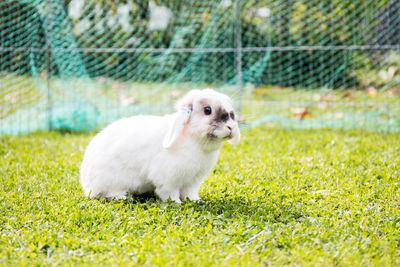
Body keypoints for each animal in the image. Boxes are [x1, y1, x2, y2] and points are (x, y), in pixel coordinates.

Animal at [79, 89, 239, 204]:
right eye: (207, 110)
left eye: (231, 113)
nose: (231, 127)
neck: (192, 138)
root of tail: (87, 184)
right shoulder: (169, 179)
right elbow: (169, 192)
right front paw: (176, 203)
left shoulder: (193, 181)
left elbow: (190, 193)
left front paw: (196, 201)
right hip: (111, 182)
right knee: (108, 193)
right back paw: (124, 197)